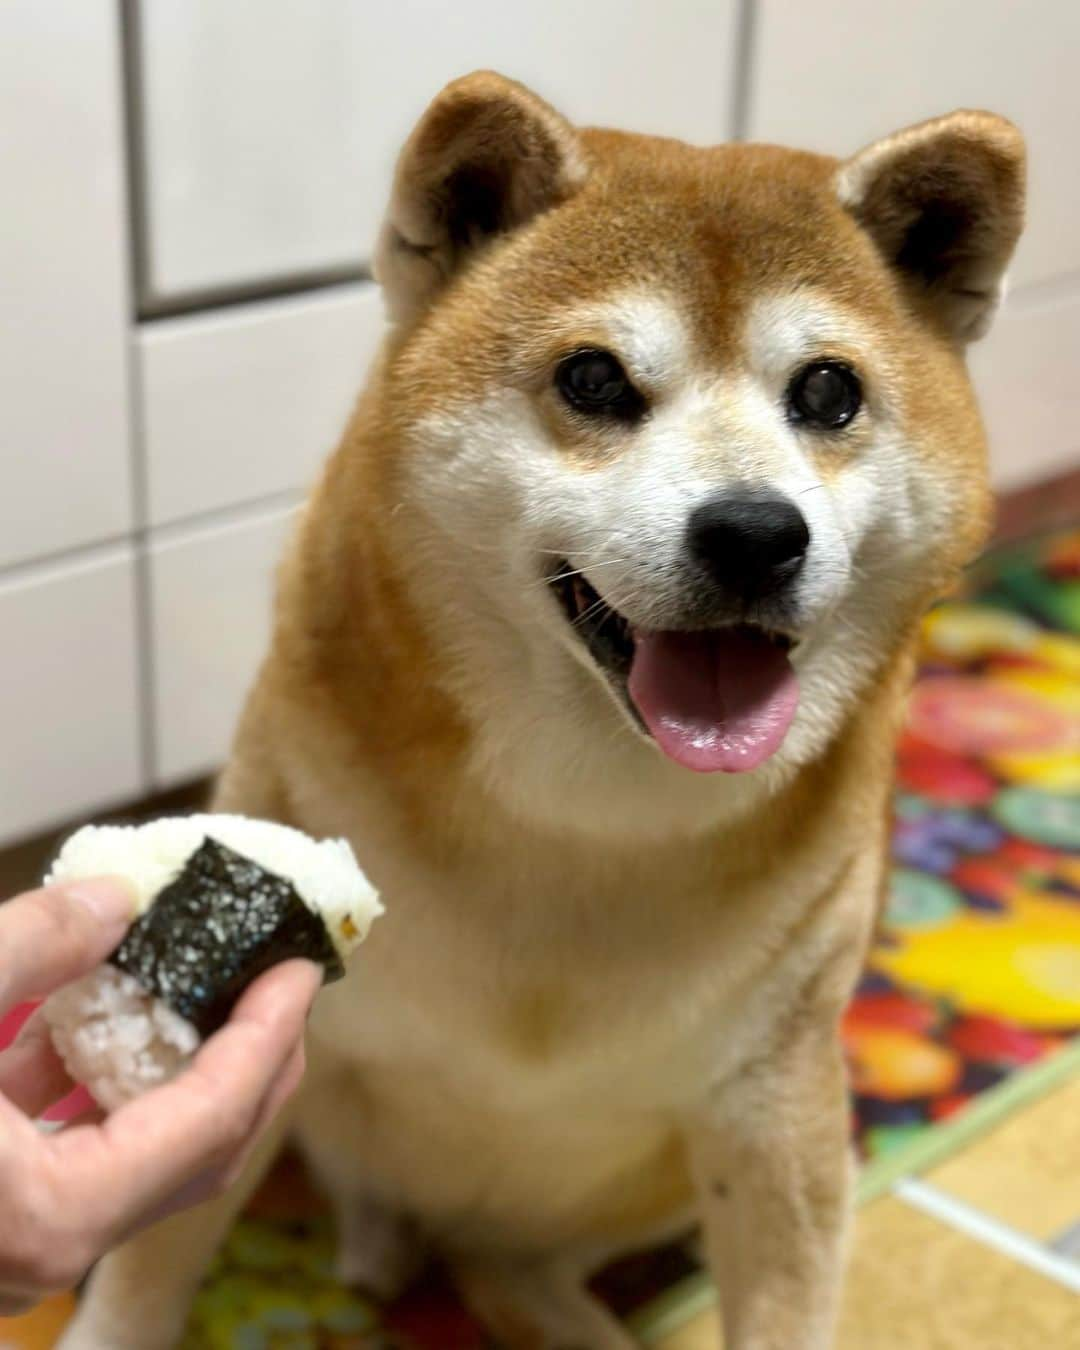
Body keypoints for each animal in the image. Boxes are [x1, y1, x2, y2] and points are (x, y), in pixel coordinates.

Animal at [63, 71, 1026, 1350]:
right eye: (594, 380)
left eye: (828, 391)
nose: (754, 534)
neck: (585, 817)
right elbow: (143, 1274)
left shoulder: (775, 1115)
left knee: (510, 1268)